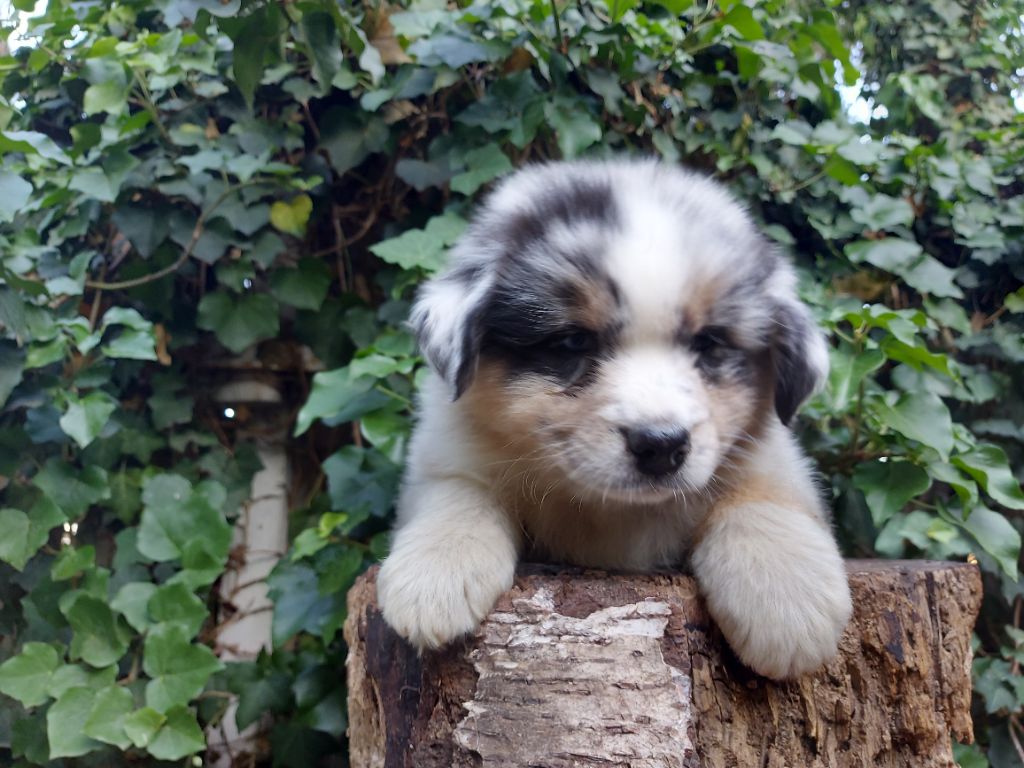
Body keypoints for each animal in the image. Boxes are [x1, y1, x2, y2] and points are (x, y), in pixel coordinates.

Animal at [376, 159, 852, 680]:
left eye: (708, 343)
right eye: (572, 342)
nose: (661, 445)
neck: (612, 510)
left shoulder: (773, 459)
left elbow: (763, 500)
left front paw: (788, 605)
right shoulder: (448, 452)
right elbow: (459, 493)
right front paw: (434, 579)